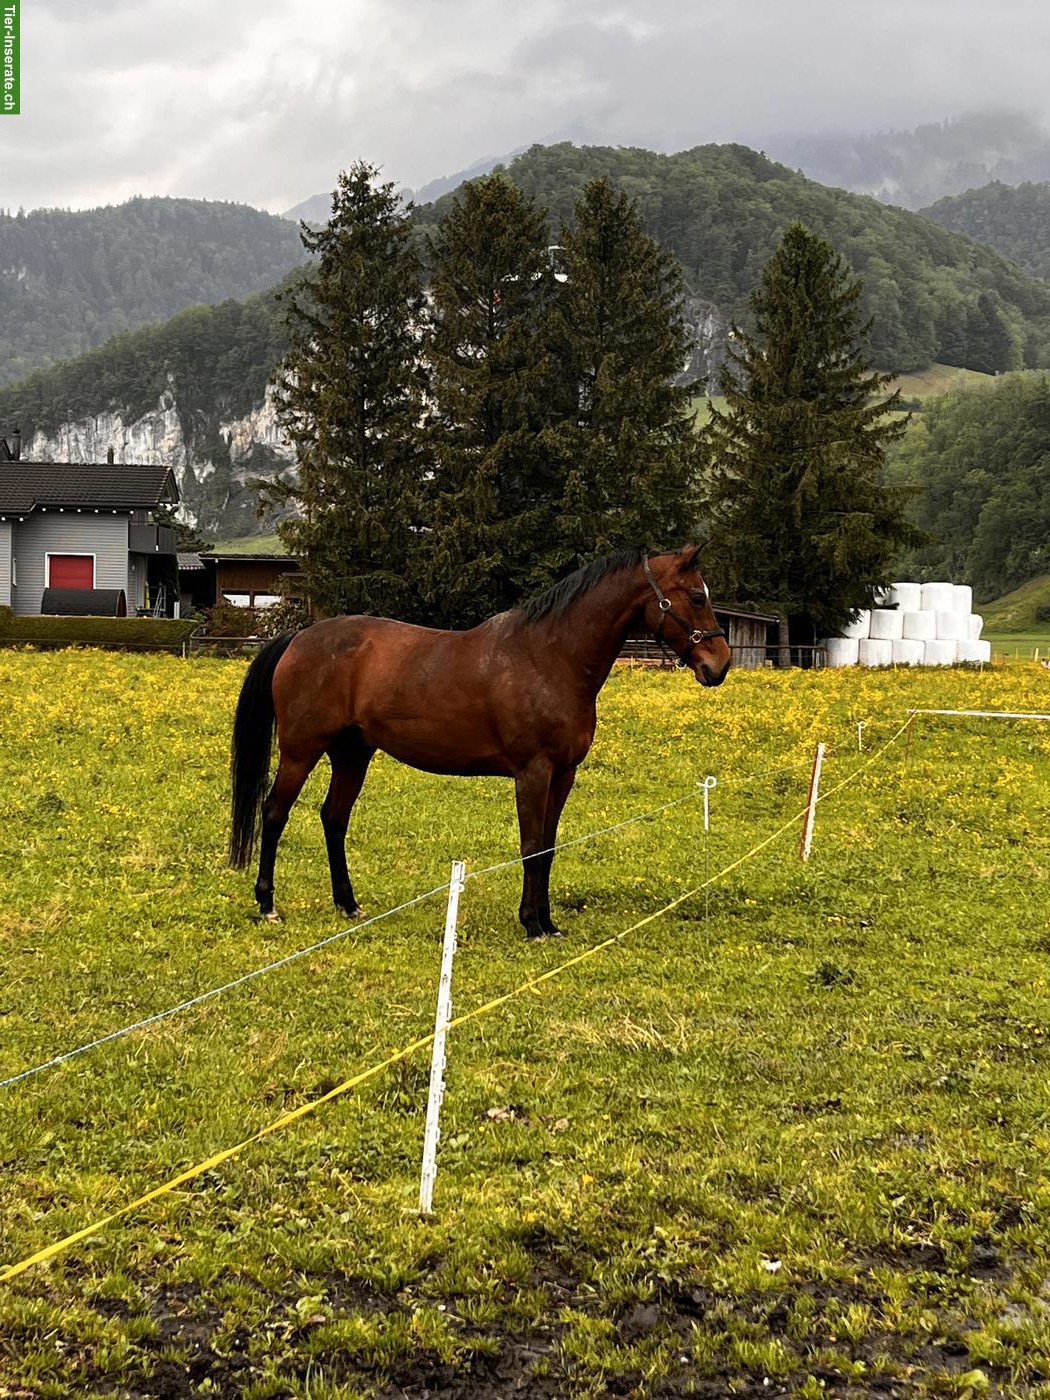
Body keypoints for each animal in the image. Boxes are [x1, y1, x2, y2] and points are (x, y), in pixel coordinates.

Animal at [228, 544, 731, 937]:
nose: (720, 665)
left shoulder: (563, 775)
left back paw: (348, 904)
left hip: (353, 754)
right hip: (301, 751)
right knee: (274, 814)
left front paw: (549, 922)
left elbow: (548, 847)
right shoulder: (533, 771)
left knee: (334, 819)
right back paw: (268, 905)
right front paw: (532, 924)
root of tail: (298, 638)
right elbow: (532, 846)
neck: (549, 658)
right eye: (696, 595)